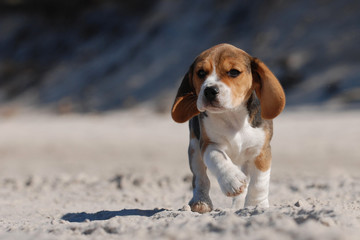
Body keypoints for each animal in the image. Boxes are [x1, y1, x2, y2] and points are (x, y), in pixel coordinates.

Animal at [170, 44, 286, 213]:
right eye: (201, 73)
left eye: (234, 72)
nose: (209, 90)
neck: (233, 116)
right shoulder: (207, 144)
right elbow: (217, 158)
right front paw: (232, 180)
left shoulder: (261, 150)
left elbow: (259, 182)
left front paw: (256, 205)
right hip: (193, 149)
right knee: (200, 178)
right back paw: (200, 201)